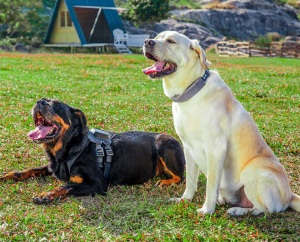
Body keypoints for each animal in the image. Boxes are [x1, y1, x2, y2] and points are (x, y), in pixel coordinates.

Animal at [0, 97, 185, 203]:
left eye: (58, 107)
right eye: (42, 100)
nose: (39, 102)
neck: (69, 150)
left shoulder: (98, 184)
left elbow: (67, 185)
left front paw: (46, 194)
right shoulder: (53, 167)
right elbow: (31, 169)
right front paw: (7, 174)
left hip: (164, 143)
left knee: (181, 177)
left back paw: (166, 181)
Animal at [143, 30, 300, 216]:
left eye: (171, 41)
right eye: (157, 37)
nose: (147, 42)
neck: (191, 91)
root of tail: (290, 195)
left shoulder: (215, 149)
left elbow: (211, 185)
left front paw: (206, 210)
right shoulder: (188, 147)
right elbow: (190, 180)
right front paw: (184, 199)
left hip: (254, 171)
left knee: (263, 209)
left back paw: (237, 210)